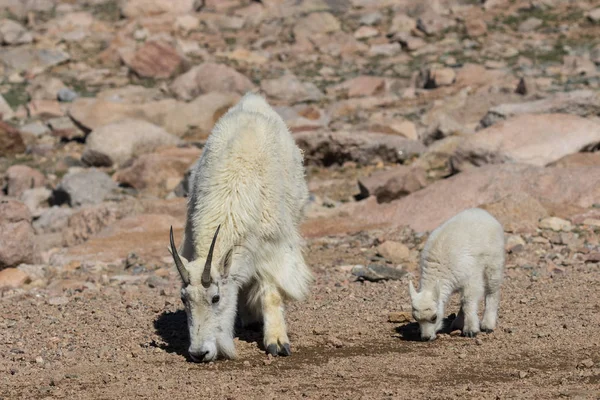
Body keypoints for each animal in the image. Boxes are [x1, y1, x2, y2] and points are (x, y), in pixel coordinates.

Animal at [166, 92, 312, 360]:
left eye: (215, 298)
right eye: (183, 299)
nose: (199, 353)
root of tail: (253, 99)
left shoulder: (273, 248)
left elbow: (271, 295)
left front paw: (277, 342)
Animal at [410, 208, 504, 342]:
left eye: (434, 317)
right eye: (415, 318)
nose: (426, 338)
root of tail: (483, 212)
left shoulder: (472, 278)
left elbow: (468, 301)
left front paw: (471, 330)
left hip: (494, 263)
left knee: (492, 291)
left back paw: (487, 325)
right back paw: (458, 323)